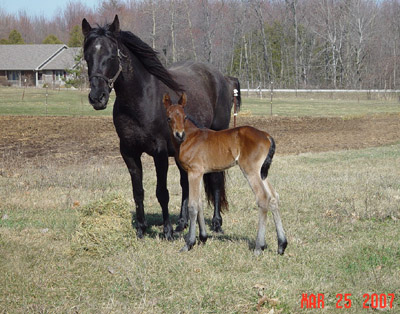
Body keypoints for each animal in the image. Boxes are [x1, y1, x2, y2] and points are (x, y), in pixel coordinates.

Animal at [81, 15, 233, 239]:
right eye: (87, 57)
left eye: (111, 56)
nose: (97, 97)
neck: (141, 99)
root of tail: (220, 77)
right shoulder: (129, 152)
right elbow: (138, 191)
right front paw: (142, 229)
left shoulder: (159, 152)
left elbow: (162, 192)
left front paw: (167, 231)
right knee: (186, 183)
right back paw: (182, 223)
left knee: (215, 179)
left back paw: (216, 223)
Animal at [162, 93, 288, 255]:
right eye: (169, 118)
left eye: (184, 117)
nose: (179, 134)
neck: (190, 138)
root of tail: (266, 135)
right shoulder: (200, 173)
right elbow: (200, 203)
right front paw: (203, 238)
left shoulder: (193, 172)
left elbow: (193, 206)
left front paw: (189, 243)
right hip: (262, 173)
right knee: (273, 197)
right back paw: (281, 245)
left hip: (251, 171)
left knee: (263, 198)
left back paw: (259, 246)